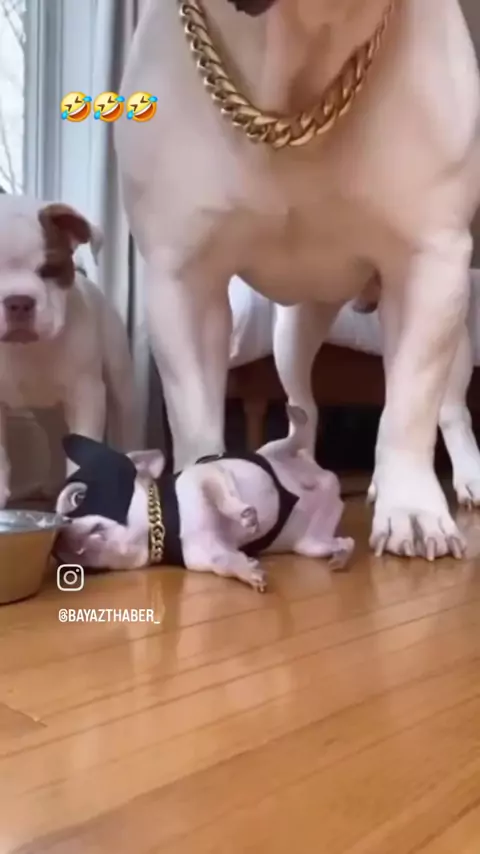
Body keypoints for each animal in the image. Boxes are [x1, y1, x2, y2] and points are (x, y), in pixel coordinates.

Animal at [0, 195, 137, 506]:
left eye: (50, 270)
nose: (18, 302)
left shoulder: (86, 395)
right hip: (48, 408)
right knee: (54, 435)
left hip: (120, 386)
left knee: (124, 424)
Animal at [55, 406, 354, 591]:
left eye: (78, 497)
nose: (58, 538)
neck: (165, 527)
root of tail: (328, 481)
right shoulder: (212, 552)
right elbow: (226, 562)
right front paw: (248, 570)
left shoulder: (206, 476)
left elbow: (222, 494)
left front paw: (242, 513)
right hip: (310, 543)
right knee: (335, 541)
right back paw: (341, 552)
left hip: (277, 451)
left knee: (296, 436)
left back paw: (298, 417)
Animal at [115, 0, 480, 559]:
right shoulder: (183, 279)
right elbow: (195, 414)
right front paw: (204, 499)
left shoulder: (431, 261)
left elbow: (411, 408)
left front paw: (413, 510)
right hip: (294, 331)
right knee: (301, 405)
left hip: (450, 326)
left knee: (447, 407)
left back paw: (464, 478)